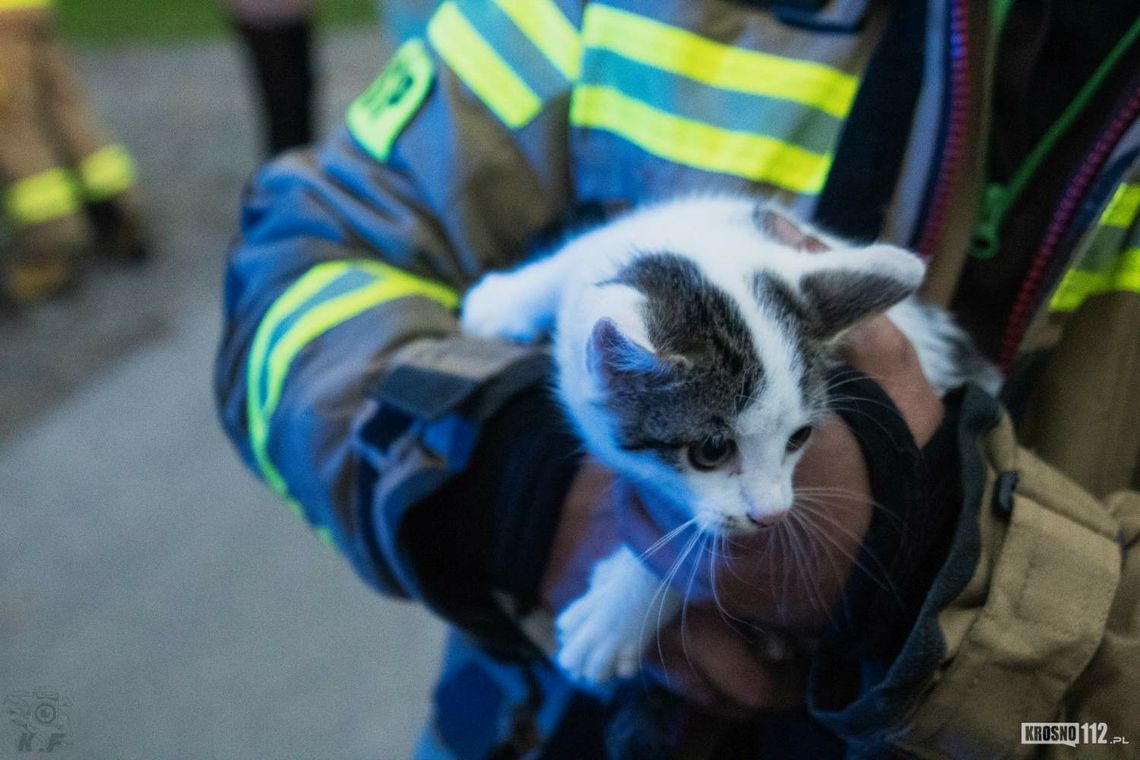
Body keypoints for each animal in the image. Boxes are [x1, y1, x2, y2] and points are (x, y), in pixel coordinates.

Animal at [460, 194, 998, 683]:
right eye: (712, 450)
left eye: (800, 437)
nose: (772, 515)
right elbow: (573, 260)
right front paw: (503, 299)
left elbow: (692, 550)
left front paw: (614, 619)